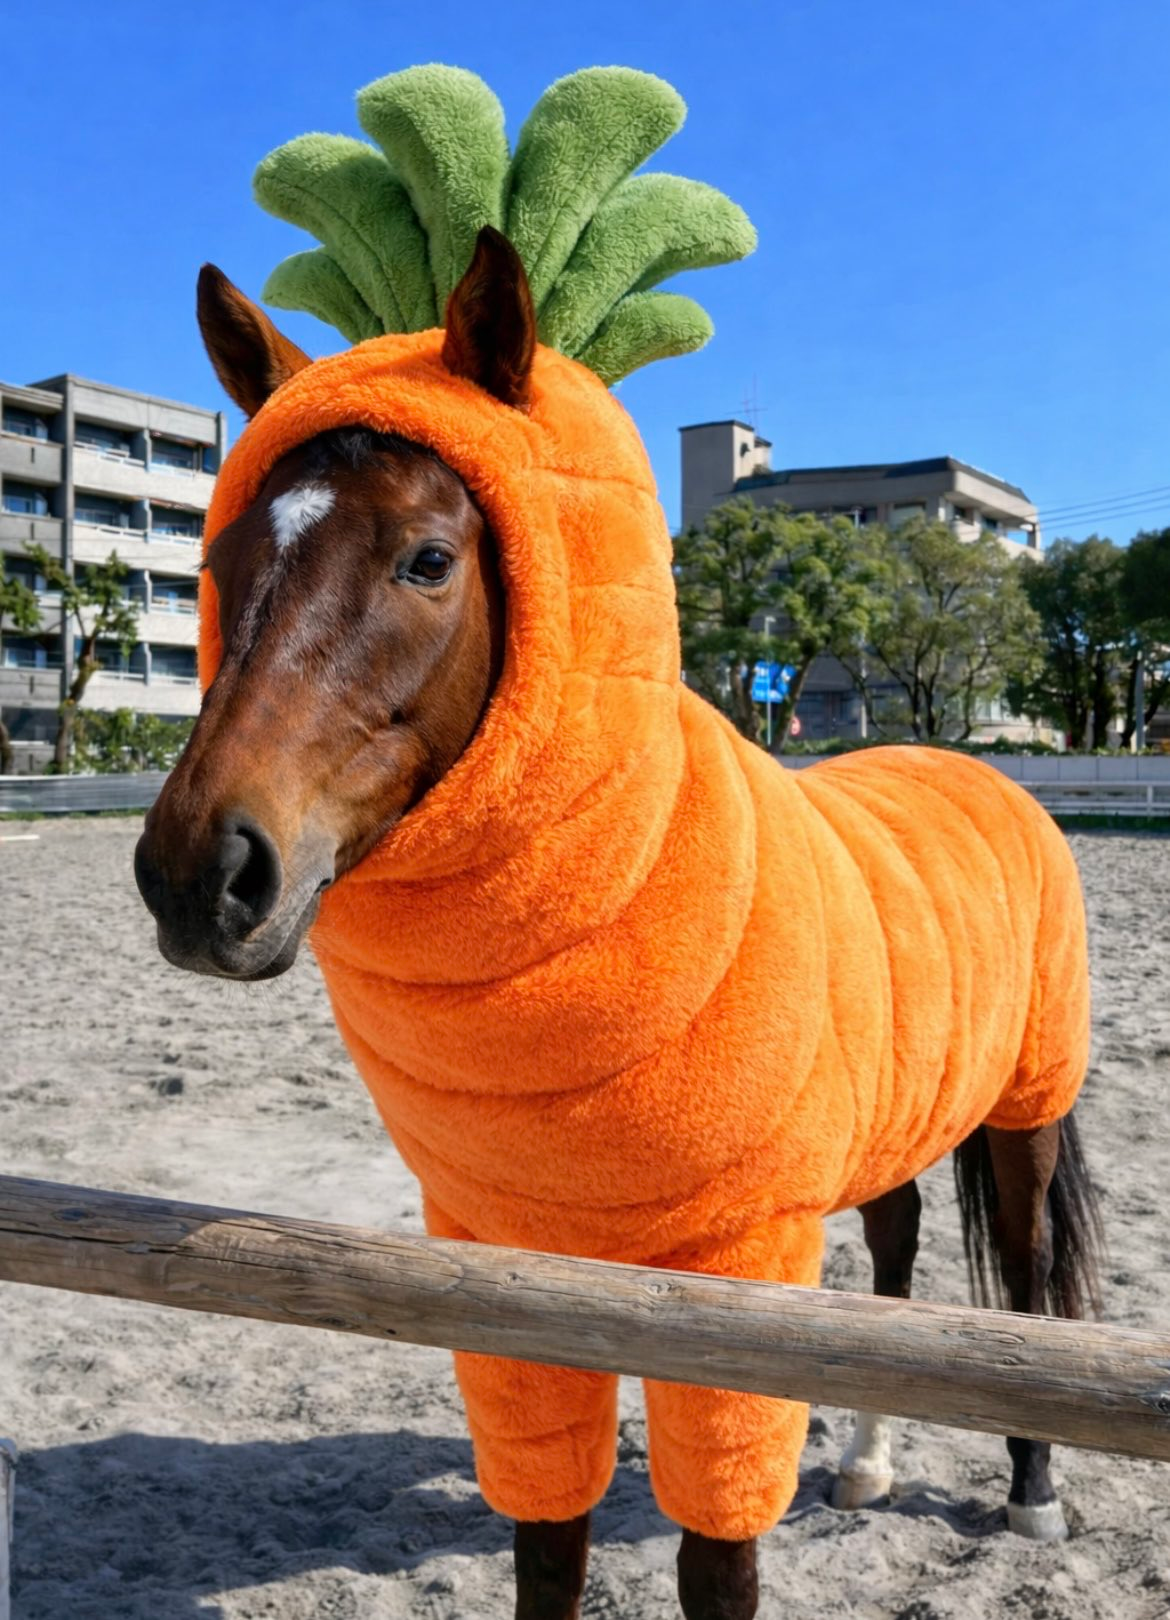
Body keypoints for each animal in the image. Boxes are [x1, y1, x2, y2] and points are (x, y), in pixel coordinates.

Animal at [135, 229, 1102, 1620]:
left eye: (429, 560)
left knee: (1018, 1291)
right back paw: (864, 1468)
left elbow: (717, 1564)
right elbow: (549, 1544)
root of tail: (980, 768)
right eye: (214, 568)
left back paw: (1030, 1493)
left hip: (1023, 1110)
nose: (199, 874)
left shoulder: (739, 1270)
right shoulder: (513, 1275)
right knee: (897, 1255)